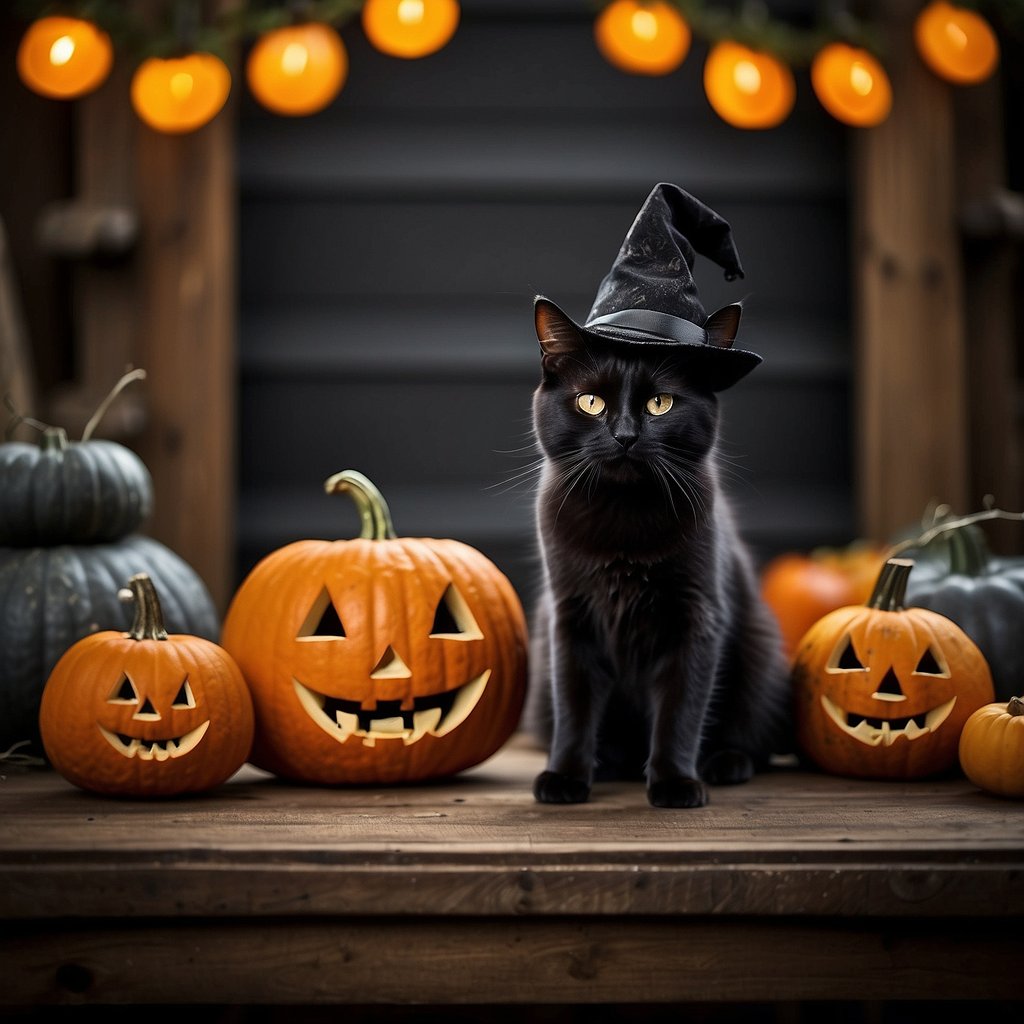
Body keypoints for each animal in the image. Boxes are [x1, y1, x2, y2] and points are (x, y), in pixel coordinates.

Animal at [520, 184, 790, 806]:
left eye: (660, 404)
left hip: (760, 652)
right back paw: (610, 763)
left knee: (751, 734)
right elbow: (574, 706)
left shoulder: (698, 617)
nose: (624, 435)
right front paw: (565, 776)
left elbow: (681, 708)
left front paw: (673, 782)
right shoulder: (569, 620)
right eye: (590, 401)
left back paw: (724, 764)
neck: (623, 524)